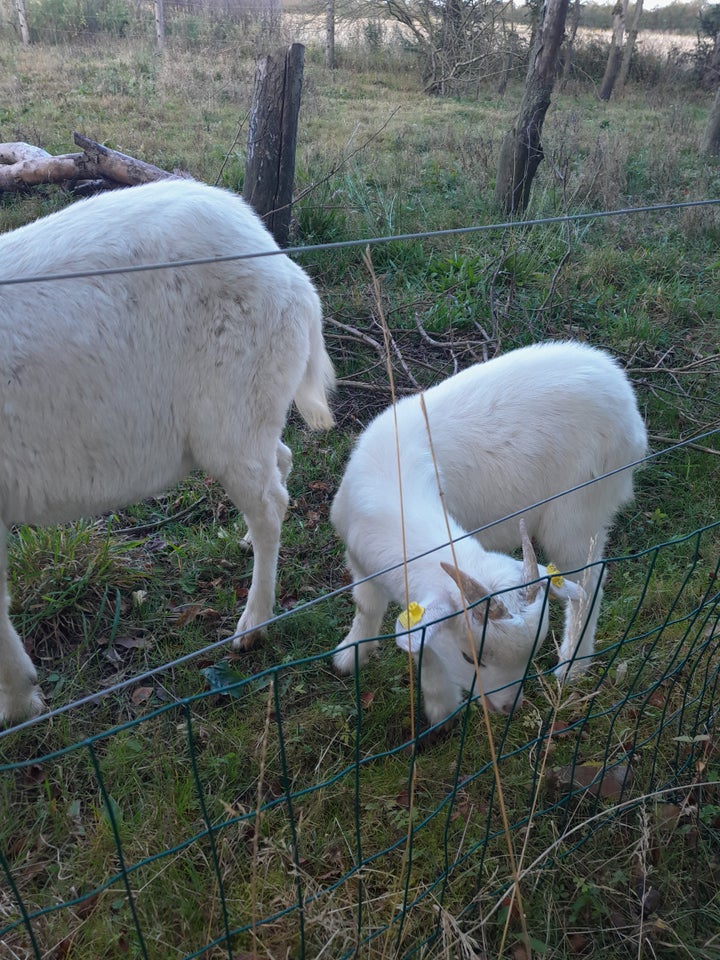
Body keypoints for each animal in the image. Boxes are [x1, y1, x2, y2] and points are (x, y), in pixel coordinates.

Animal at [0, 176, 336, 724]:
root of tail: (289, 271)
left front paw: (17, 702)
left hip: (232, 412)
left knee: (271, 505)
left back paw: (254, 623)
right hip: (251, 412)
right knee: (280, 465)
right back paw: (248, 543)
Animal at [332, 342, 648, 724]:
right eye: (470, 658)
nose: (510, 707)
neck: (396, 493)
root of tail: (623, 393)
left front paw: (438, 706)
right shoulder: (360, 560)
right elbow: (367, 607)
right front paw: (350, 656)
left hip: (578, 509)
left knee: (590, 581)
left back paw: (573, 664)